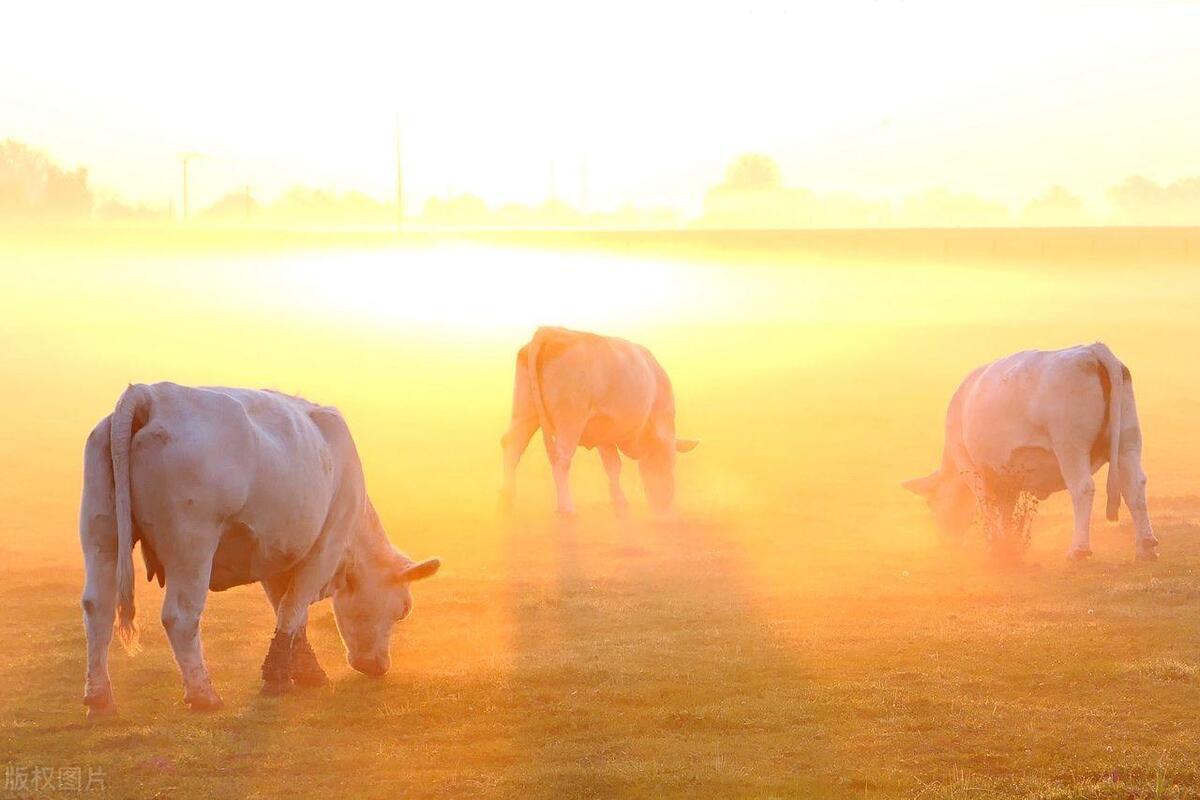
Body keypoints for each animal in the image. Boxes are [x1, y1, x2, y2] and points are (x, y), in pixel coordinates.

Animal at [79, 383, 440, 715]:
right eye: (402, 610)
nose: (379, 667)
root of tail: (152, 394)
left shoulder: (275, 558)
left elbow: (291, 614)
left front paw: (304, 670)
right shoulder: (325, 549)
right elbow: (293, 609)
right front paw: (278, 678)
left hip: (101, 532)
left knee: (98, 606)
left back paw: (100, 697)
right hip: (192, 545)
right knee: (180, 616)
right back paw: (203, 695)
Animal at [500, 327, 698, 517]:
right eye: (670, 463)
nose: (664, 504)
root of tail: (550, 331)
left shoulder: (605, 434)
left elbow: (613, 466)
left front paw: (619, 500)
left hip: (525, 411)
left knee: (512, 444)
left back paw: (507, 498)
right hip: (570, 420)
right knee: (561, 459)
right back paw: (566, 508)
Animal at [903, 343, 1157, 561]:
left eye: (931, 503)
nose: (945, 543)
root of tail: (1092, 349)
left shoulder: (971, 469)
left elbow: (987, 505)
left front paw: (994, 544)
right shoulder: (1006, 477)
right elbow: (1005, 508)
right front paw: (1006, 542)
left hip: (1071, 448)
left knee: (1083, 488)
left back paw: (1079, 550)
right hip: (1128, 443)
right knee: (1135, 486)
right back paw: (1146, 547)